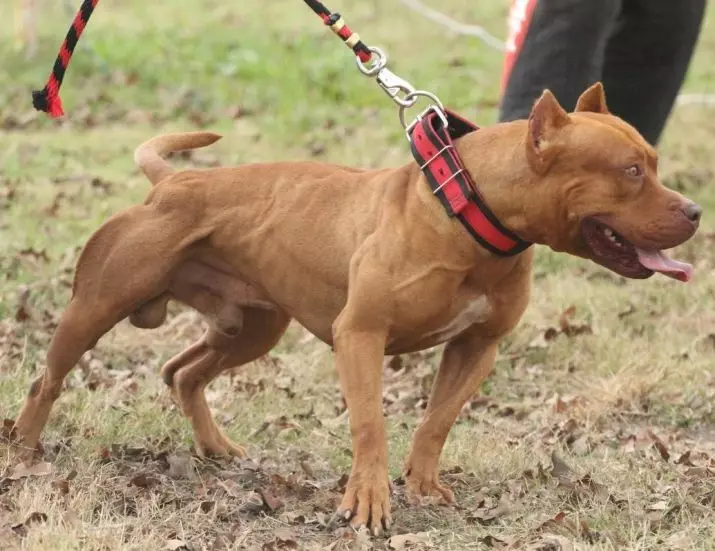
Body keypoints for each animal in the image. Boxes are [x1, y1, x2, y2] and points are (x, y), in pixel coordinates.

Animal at [11, 83, 704, 536]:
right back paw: (23, 453)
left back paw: (215, 447)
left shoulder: (477, 347)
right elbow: (371, 424)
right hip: (96, 305)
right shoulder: (361, 336)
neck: (470, 215)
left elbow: (435, 421)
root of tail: (172, 182)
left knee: (181, 372)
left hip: (252, 327)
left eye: (653, 163)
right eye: (632, 170)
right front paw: (368, 502)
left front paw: (421, 484)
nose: (696, 211)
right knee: (49, 379)